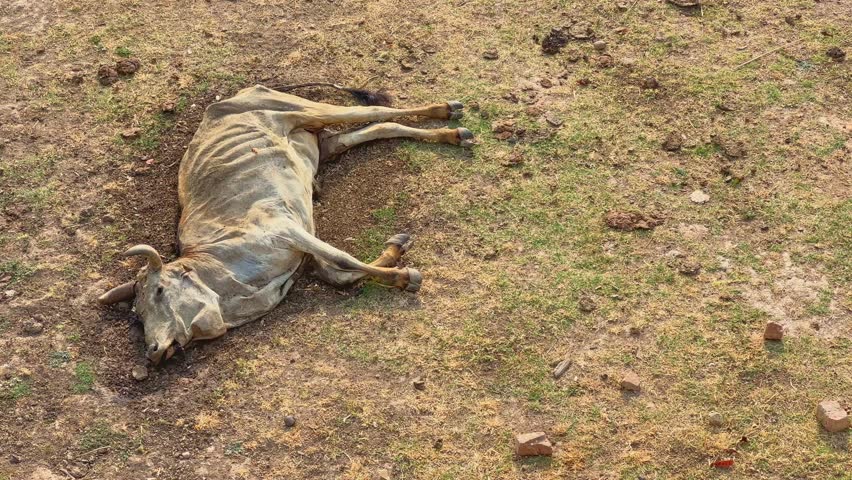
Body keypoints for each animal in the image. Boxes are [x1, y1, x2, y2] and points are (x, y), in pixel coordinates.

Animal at [97, 84, 473, 364]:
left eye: (159, 291)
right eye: (137, 315)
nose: (153, 351)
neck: (221, 278)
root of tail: (240, 94)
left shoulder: (285, 229)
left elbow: (343, 259)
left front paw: (405, 276)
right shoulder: (305, 256)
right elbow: (340, 274)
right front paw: (395, 254)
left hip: (305, 111)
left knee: (374, 113)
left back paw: (449, 116)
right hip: (321, 143)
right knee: (375, 129)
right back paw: (450, 133)